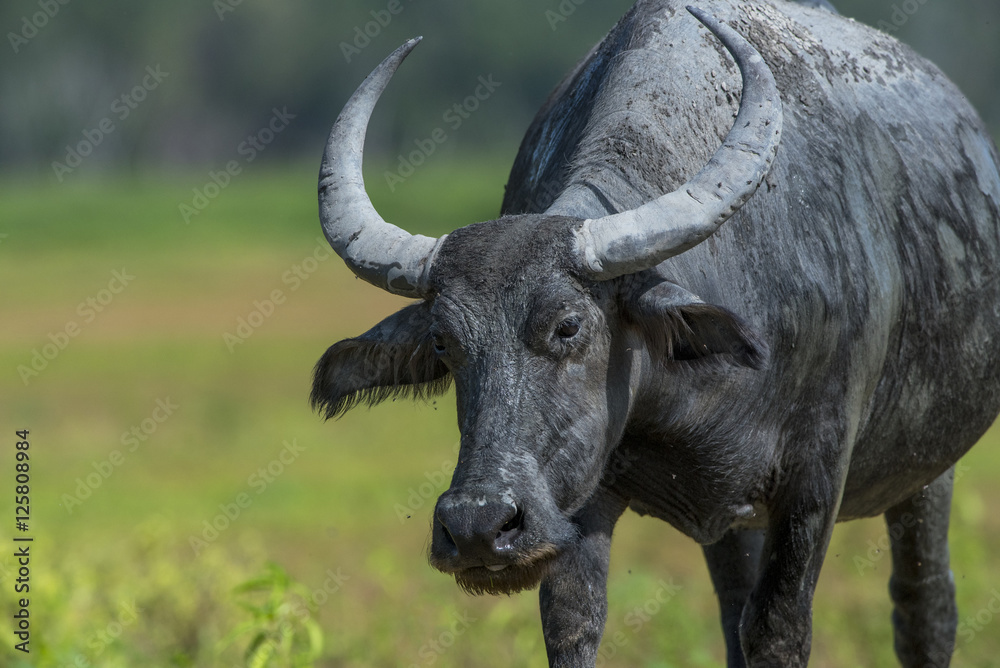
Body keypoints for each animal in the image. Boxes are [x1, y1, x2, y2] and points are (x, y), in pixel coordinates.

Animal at [310, 1, 1000, 665]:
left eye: (568, 326)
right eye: (443, 344)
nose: (477, 525)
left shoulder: (815, 477)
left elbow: (778, 631)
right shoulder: (580, 498)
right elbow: (573, 626)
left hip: (926, 474)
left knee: (923, 609)